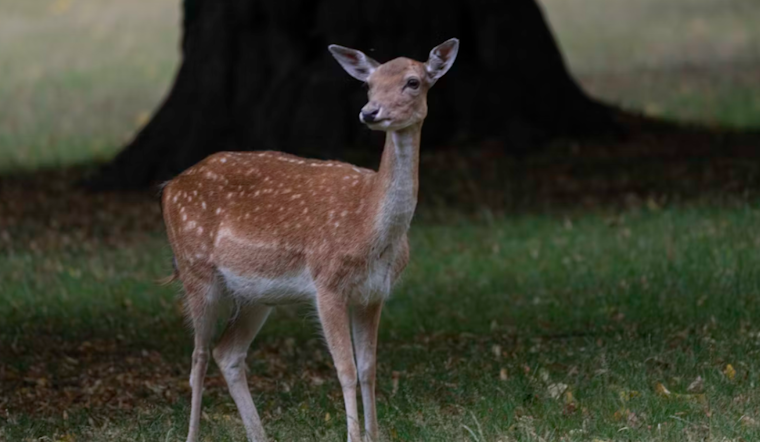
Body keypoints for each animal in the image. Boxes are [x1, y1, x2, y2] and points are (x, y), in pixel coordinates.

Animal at [160, 38, 459, 442]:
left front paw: (374, 435)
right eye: (369, 84)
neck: (369, 229)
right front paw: (354, 437)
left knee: (228, 353)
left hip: (256, 295)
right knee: (198, 358)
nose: (370, 112)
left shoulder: (373, 294)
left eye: (413, 82)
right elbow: (345, 370)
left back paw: (260, 436)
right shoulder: (327, 283)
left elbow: (369, 369)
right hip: (195, 269)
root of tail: (169, 188)